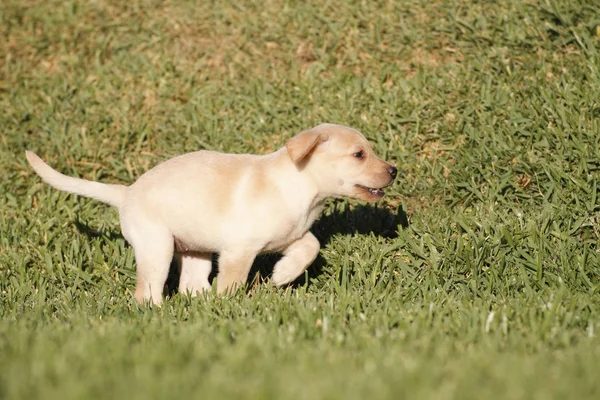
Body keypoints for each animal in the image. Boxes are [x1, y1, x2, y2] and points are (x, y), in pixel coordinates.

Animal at [24, 123, 398, 304]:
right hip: (157, 249)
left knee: (190, 285)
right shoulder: (239, 250)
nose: (394, 170)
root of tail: (127, 192)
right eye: (359, 154)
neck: (303, 187)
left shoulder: (291, 237)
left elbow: (311, 247)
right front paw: (231, 306)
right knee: (146, 293)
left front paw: (282, 275)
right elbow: (232, 282)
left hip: (195, 251)